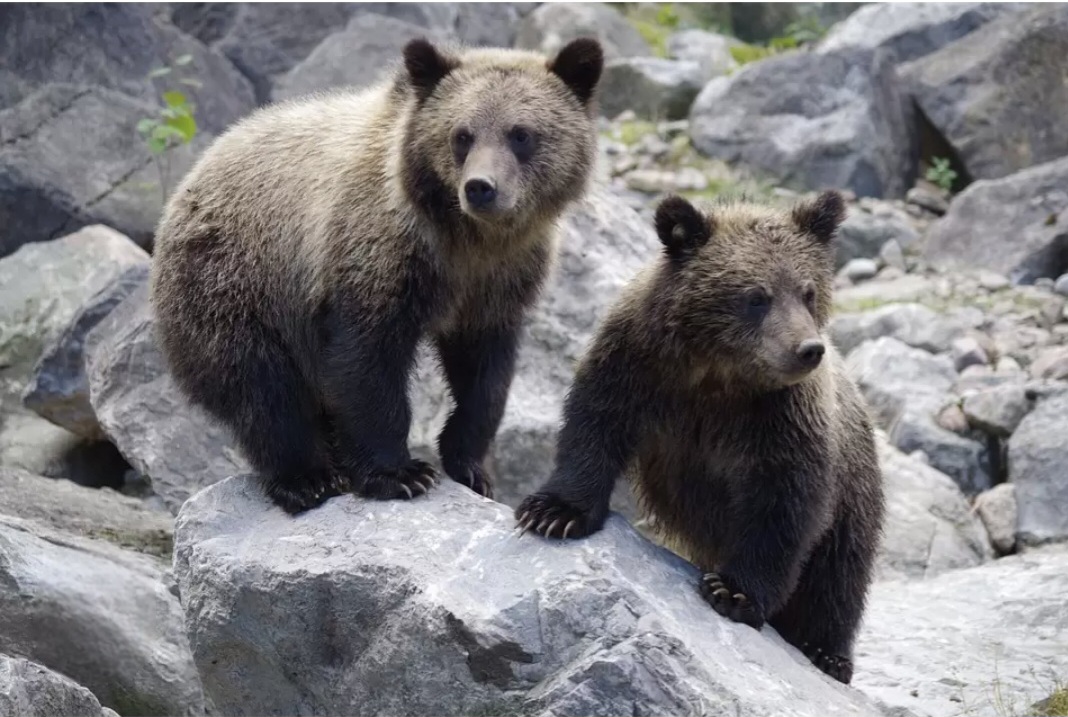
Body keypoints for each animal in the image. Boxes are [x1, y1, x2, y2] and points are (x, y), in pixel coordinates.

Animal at [150, 37, 604, 515]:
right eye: (462, 135)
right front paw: (399, 473)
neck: (466, 239)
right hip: (233, 282)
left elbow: (484, 374)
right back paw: (306, 477)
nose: (481, 187)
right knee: (263, 388)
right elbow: (367, 362)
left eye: (521, 134)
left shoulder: (498, 283)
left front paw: (470, 465)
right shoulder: (376, 255)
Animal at [515, 192, 885, 685]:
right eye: (756, 296)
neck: (717, 374)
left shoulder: (781, 420)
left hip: (855, 488)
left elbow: (783, 506)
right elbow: (594, 427)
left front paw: (734, 592)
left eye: (808, 291)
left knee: (839, 572)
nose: (808, 349)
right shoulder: (637, 366)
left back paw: (828, 653)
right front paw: (554, 513)